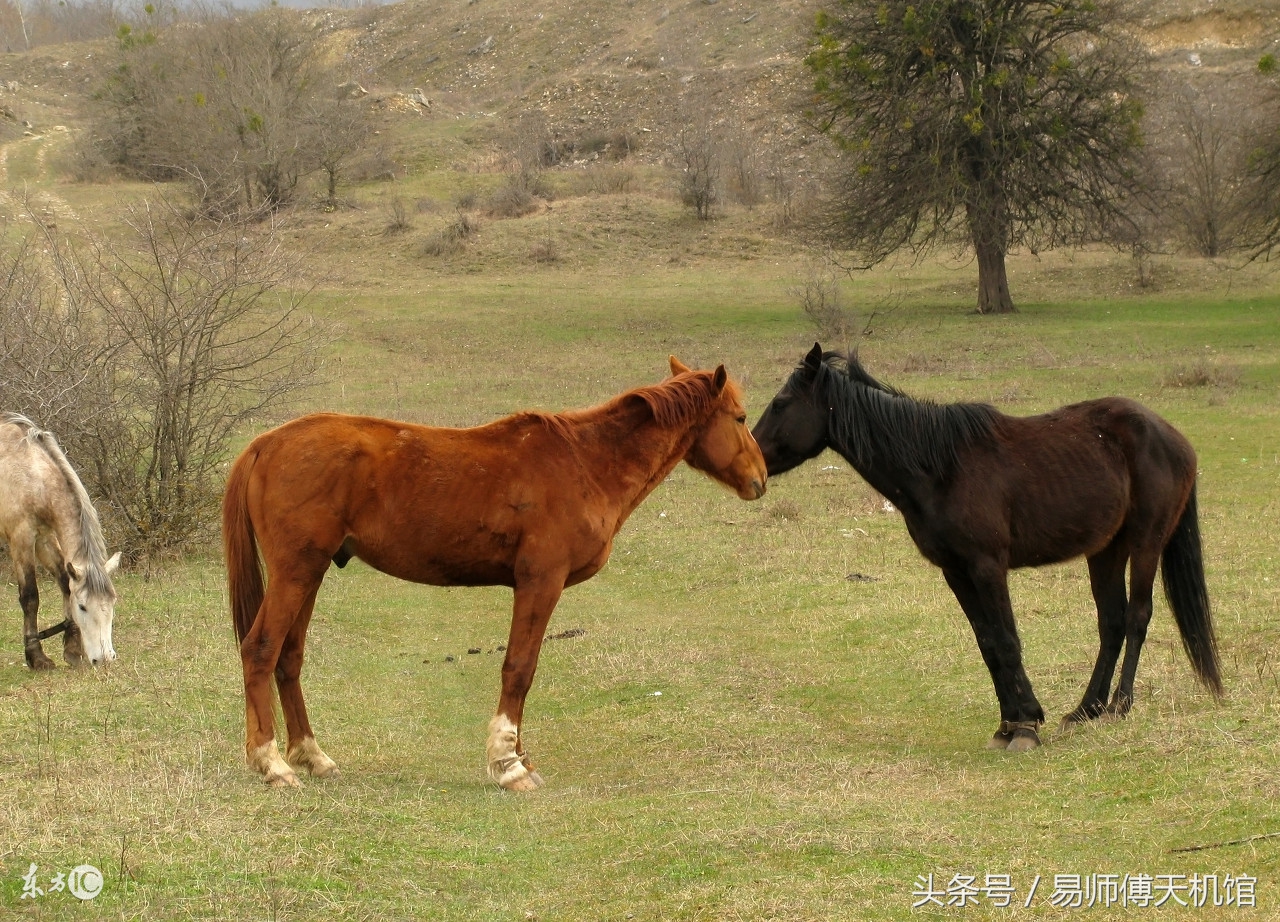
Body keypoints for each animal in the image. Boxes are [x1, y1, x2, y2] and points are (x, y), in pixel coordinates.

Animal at [0, 414, 122, 665]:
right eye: (83, 607)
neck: (32, 476)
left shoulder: (44, 538)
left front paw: (73, 650)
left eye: (112, 602)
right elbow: (30, 596)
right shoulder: (21, 538)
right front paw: (36, 657)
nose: (105, 659)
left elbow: (65, 583)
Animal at [224, 355, 762, 788]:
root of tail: (266, 443)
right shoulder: (540, 583)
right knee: (261, 649)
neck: (584, 461)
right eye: (739, 418)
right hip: (295, 572)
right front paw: (509, 765)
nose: (760, 478)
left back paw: (313, 756)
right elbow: (519, 668)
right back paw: (273, 764)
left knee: (289, 658)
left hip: (310, 574)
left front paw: (522, 757)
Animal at [752, 345, 1223, 758]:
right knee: (1112, 623)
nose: (752, 465)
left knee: (1138, 616)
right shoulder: (956, 572)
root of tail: (1174, 438)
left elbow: (1007, 640)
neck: (939, 468)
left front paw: (1027, 726)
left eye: (780, 403)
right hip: (1105, 552)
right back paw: (1085, 710)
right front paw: (1006, 725)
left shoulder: (987, 567)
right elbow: (988, 644)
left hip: (1146, 543)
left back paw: (1119, 707)